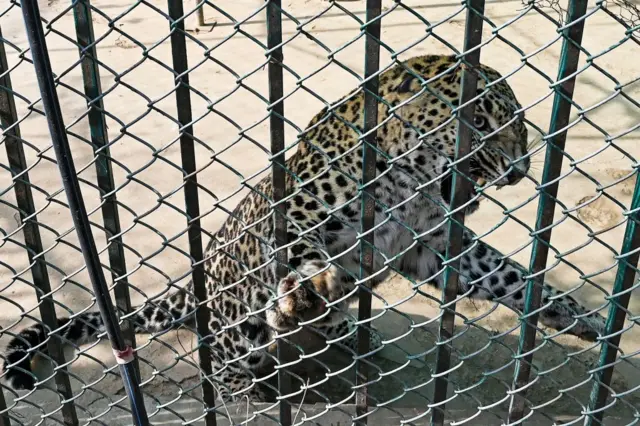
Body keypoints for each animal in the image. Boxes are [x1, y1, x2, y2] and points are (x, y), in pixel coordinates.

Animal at [1, 54, 606, 402]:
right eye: (479, 121)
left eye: (518, 125)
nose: (520, 170)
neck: (411, 185)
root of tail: (199, 282)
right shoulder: (296, 215)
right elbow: (304, 252)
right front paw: (311, 287)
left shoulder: (433, 247)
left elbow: (511, 277)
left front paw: (579, 317)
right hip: (237, 326)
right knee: (226, 361)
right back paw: (256, 386)